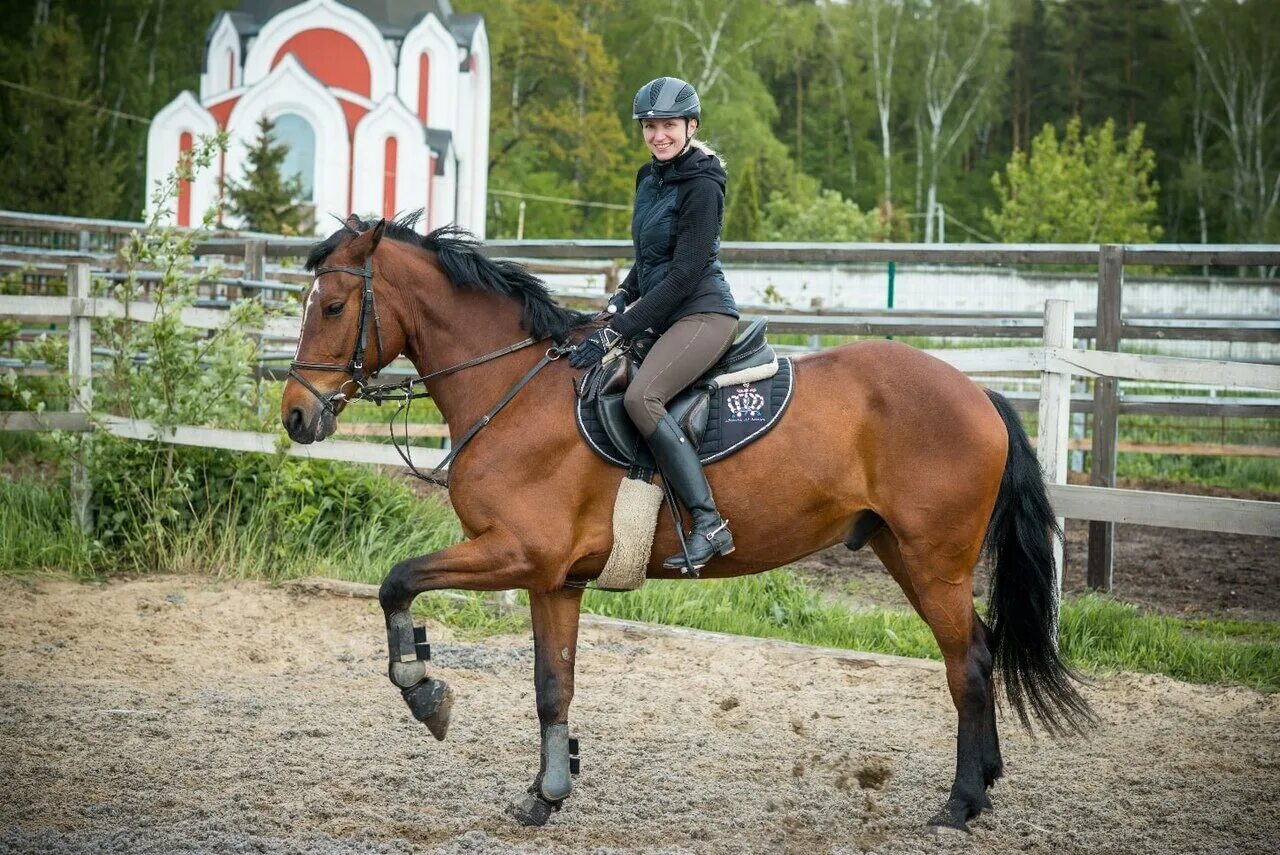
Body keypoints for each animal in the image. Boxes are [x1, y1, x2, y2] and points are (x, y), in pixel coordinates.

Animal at [280, 215, 1090, 834]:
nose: (295, 415)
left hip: (933, 559)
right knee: (978, 649)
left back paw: (959, 803)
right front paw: (546, 795)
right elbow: (552, 686)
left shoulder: (515, 553)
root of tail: (979, 393)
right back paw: (985, 781)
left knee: (970, 663)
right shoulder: (553, 579)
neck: (515, 390)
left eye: (331, 308)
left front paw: (425, 691)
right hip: (904, 554)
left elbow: (397, 582)